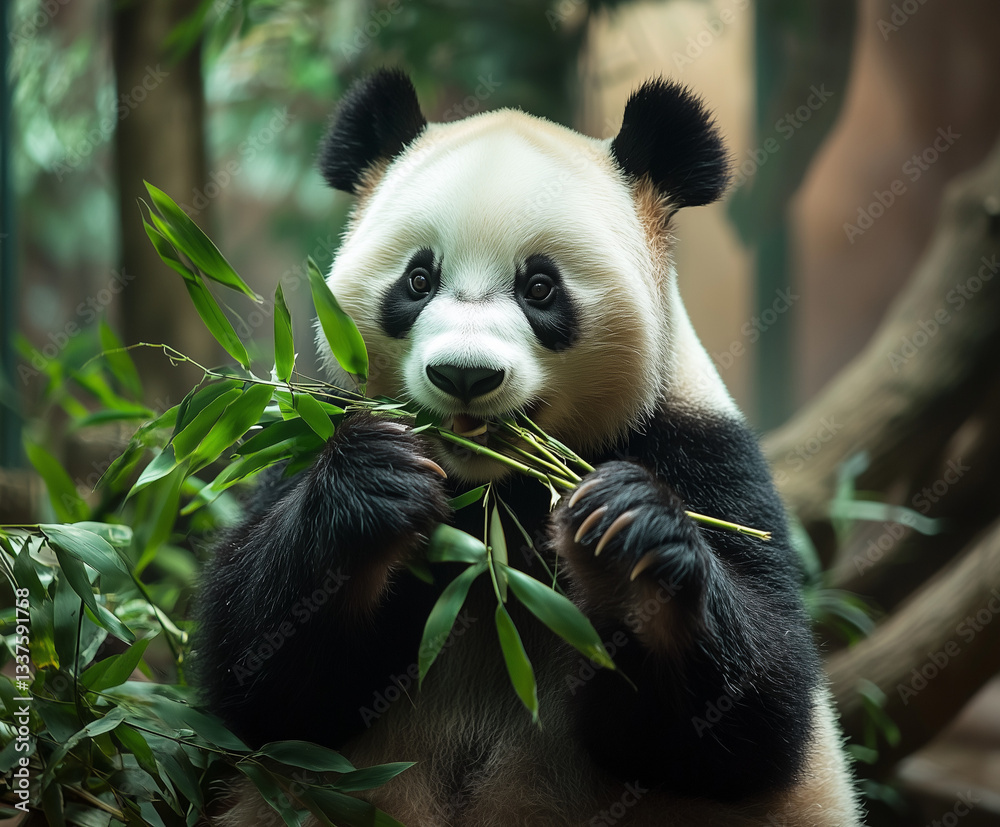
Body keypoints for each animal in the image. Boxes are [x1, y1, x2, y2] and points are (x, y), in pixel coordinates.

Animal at [197, 69, 862, 826]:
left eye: (539, 286)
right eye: (418, 279)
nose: (464, 374)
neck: (494, 502)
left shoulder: (700, 451)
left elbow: (755, 715)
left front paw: (627, 538)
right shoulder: (319, 429)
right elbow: (262, 676)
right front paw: (374, 486)